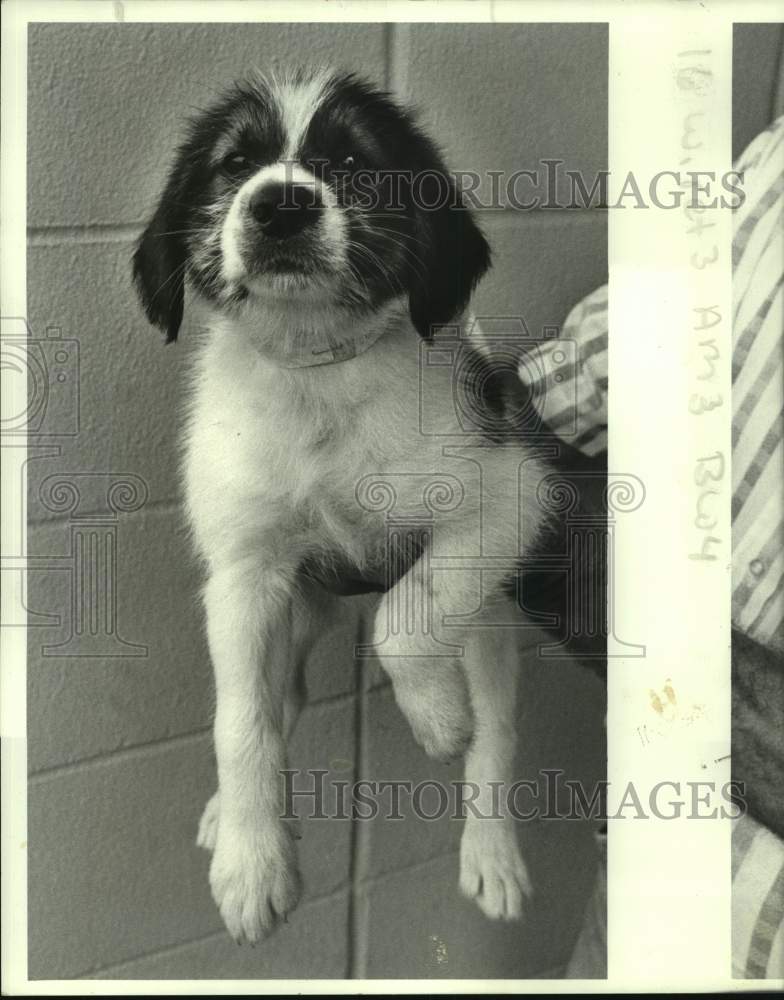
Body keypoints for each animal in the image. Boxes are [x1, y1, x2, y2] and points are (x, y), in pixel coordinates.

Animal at [133, 70, 544, 944]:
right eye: (235, 164)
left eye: (354, 164)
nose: (281, 204)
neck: (315, 371)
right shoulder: (242, 577)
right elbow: (241, 722)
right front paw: (252, 862)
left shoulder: (508, 498)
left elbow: (409, 613)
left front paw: (437, 717)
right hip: (291, 614)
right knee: (275, 700)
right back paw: (231, 814)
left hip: (491, 624)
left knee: (498, 731)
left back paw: (491, 849)